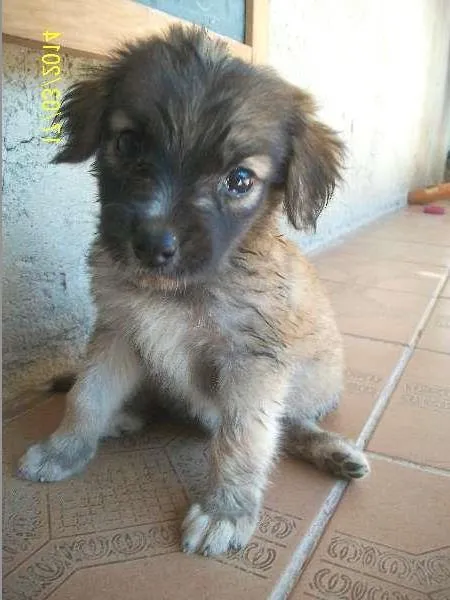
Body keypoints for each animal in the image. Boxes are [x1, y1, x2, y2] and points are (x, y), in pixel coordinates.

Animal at [18, 25, 369, 557]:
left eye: (240, 179)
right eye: (127, 143)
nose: (151, 245)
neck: (179, 292)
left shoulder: (253, 362)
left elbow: (245, 438)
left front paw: (226, 510)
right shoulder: (118, 331)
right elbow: (87, 396)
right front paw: (65, 449)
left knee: (289, 426)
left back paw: (332, 451)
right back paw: (125, 416)